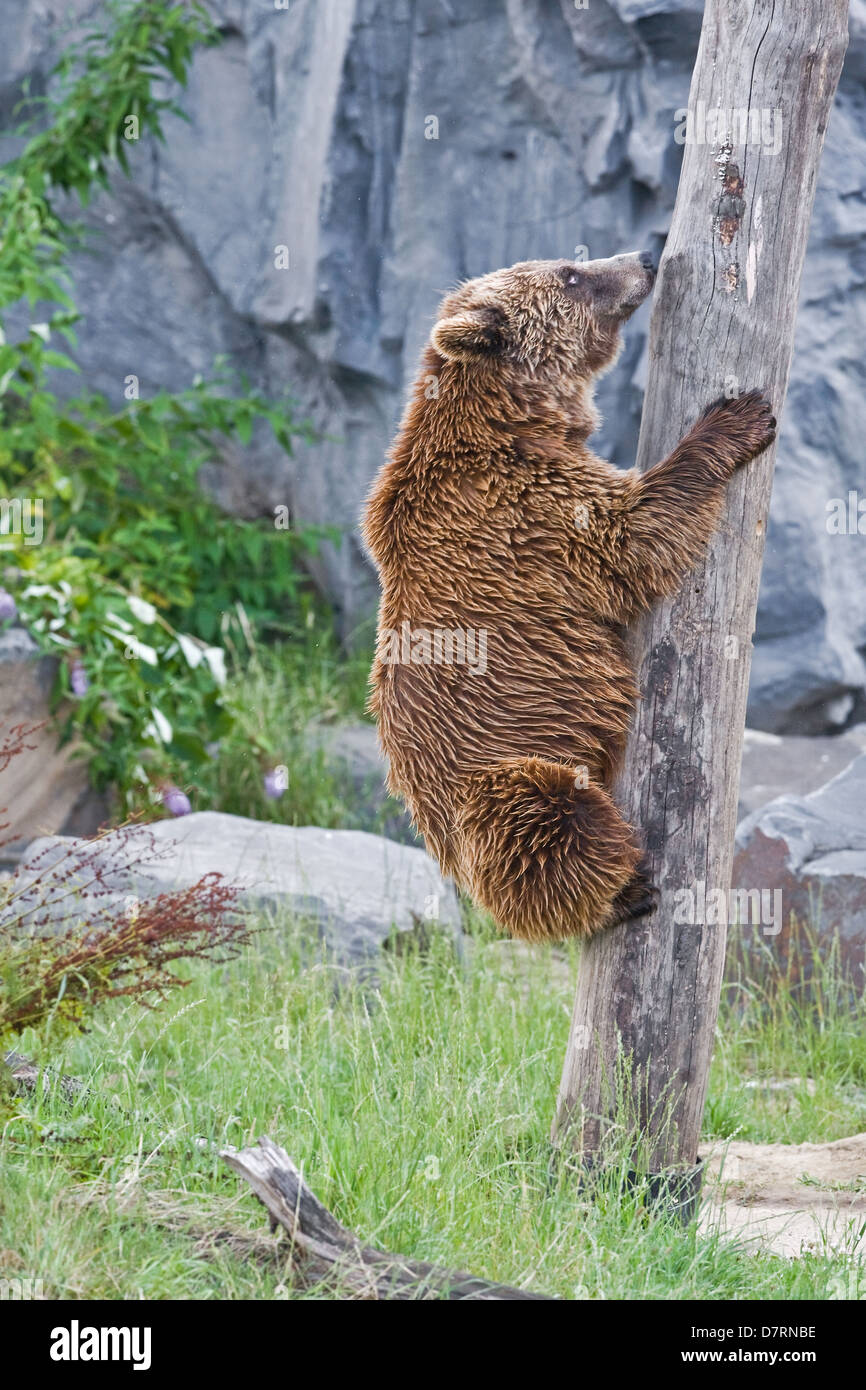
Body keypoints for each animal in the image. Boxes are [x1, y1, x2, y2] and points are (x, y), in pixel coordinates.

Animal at [361, 254, 778, 939]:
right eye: (570, 274)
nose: (643, 258)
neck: (516, 418)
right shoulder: (527, 507)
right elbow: (632, 535)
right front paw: (738, 417)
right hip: (492, 774)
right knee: (547, 819)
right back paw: (624, 888)